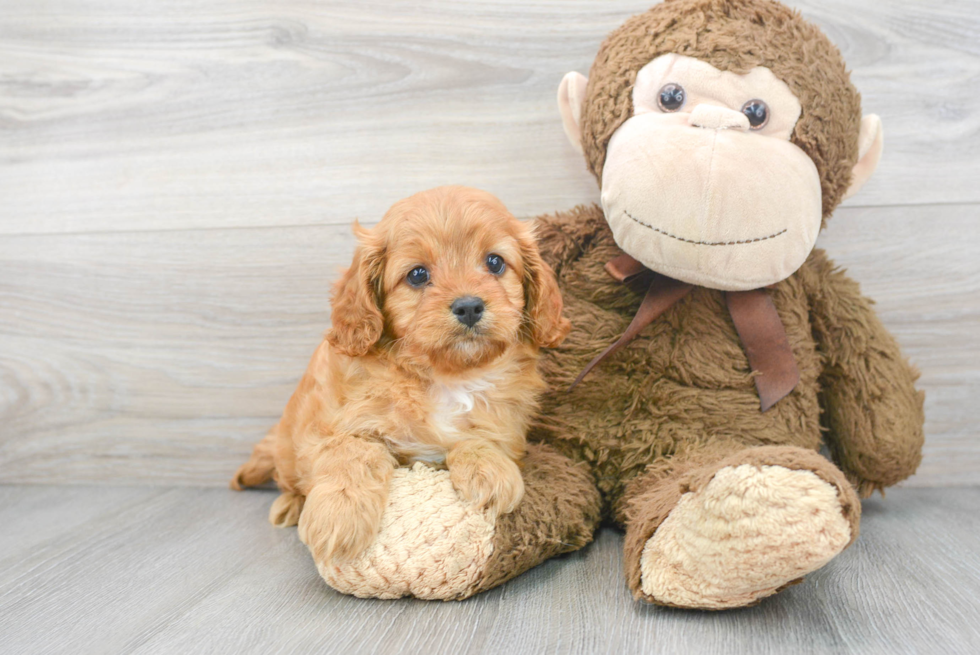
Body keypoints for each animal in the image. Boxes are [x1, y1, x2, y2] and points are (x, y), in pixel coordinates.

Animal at [230, 186, 568, 564]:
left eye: (495, 262)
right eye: (417, 275)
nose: (468, 306)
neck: (445, 377)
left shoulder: (505, 422)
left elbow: (481, 435)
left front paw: (490, 470)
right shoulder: (328, 427)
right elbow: (350, 450)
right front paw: (340, 515)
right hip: (289, 446)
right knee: (289, 479)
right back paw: (289, 506)